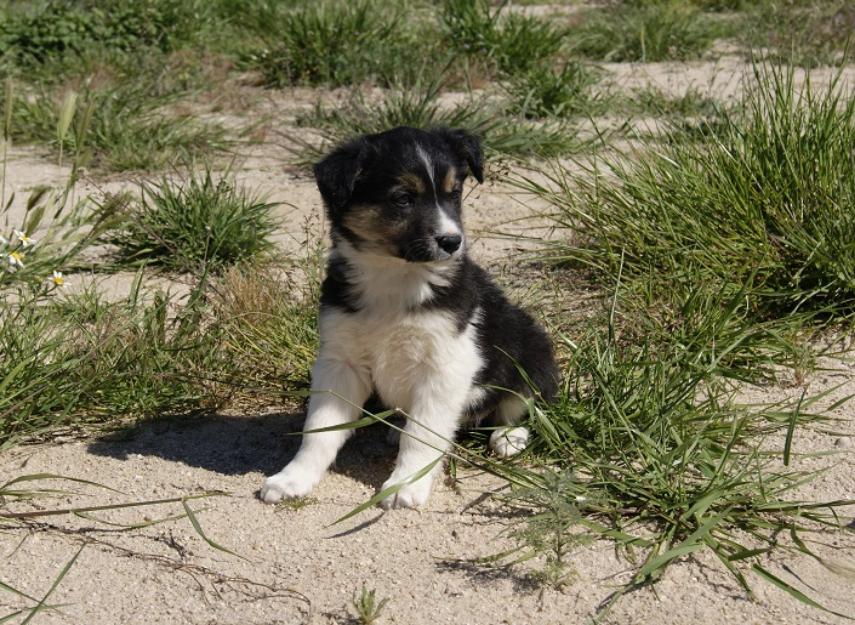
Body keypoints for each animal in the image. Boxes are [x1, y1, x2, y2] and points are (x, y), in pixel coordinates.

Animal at [258, 125, 560, 508]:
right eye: (402, 198)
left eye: (454, 193)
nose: (452, 242)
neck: (395, 275)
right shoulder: (340, 361)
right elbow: (319, 430)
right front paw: (293, 478)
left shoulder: (446, 366)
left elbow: (422, 435)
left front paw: (405, 484)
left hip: (532, 355)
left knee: (520, 407)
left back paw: (509, 437)